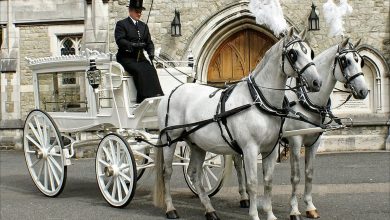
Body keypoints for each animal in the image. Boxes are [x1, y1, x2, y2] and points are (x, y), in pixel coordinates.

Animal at [154, 27, 322, 220]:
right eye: (293, 54)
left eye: (310, 52)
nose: (317, 82)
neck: (259, 101)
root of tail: (173, 91)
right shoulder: (250, 149)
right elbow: (252, 183)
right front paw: (254, 215)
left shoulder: (270, 150)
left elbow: (268, 181)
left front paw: (270, 214)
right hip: (170, 140)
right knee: (167, 172)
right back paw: (170, 208)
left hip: (196, 144)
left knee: (194, 174)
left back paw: (209, 209)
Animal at [232, 37, 368, 220]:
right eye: (345, 61)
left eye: (360, 60)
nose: (363, 91)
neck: (307, 100)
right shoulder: (295, 140)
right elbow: (295, 177)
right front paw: (294, 210)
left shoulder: (314, 141)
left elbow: (309, 173)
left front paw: (310, 206)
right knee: (238, 165)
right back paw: (243, 197)